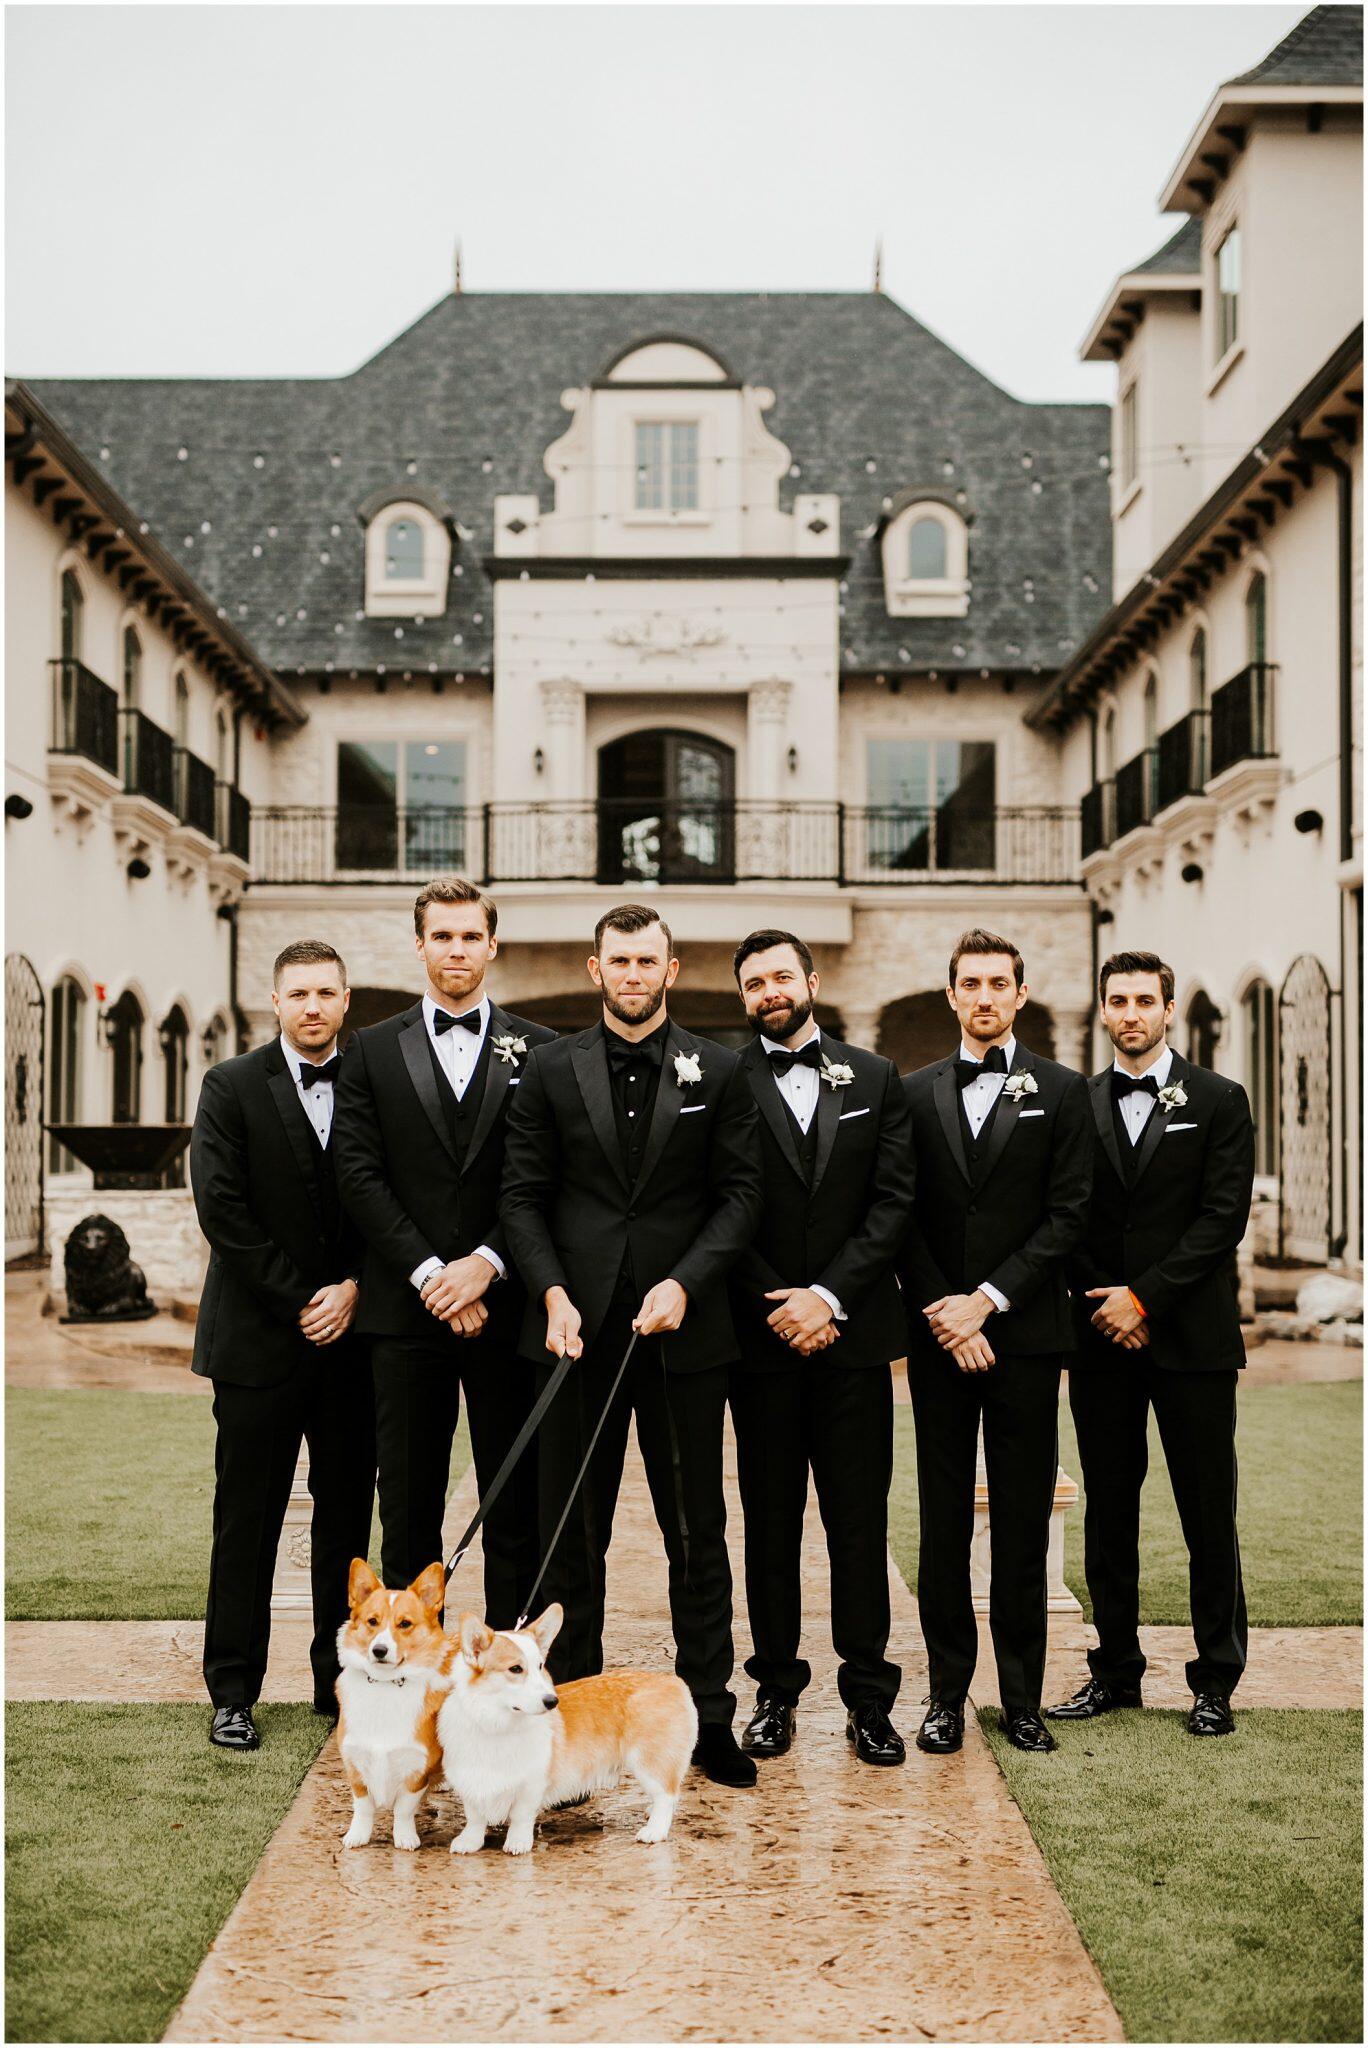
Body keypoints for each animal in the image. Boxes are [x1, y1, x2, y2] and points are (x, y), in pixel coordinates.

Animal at [335, 1556, 454, 1851]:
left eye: (405, 1624)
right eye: (372, 1621)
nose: (379, 1650)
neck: (385, 1684)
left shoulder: (416, 1768)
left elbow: (404, 1809)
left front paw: (405, 1838)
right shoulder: (354, 1762)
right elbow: (362, 1806)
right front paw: (357, 1836)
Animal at [436, 1597, 696, 1859]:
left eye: (540, 1666)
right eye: (516, 1669)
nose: (552, 1701)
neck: (496, 1724)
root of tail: (675, 1683)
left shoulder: (531, 1784)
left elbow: (521, 1816)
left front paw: (517, 1842)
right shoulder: (470, 1780)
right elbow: (475, 1817)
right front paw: (469, 1841)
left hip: (648, 1761)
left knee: (667, 1795)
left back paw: (655, 1830)